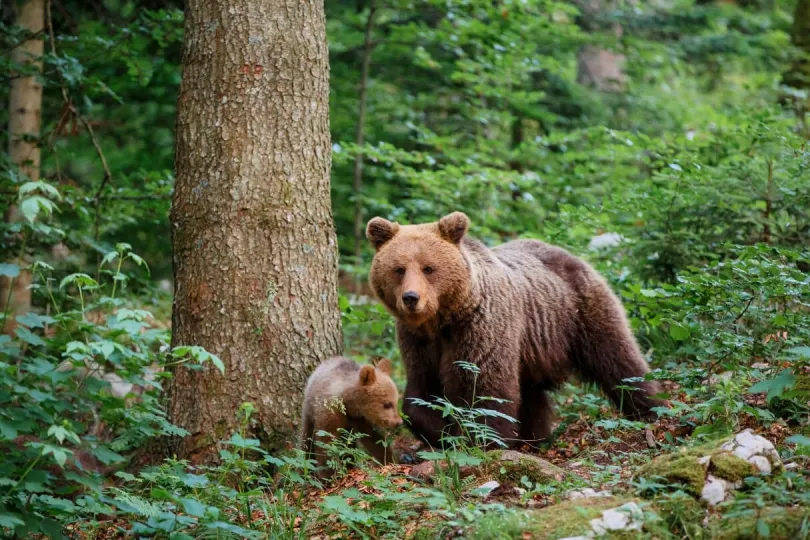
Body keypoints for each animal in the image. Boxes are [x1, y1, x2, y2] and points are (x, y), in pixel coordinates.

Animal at [364, 211, 664, 448]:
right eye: (399, 269)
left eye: (429, 268)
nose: (411, 298)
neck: (442, 320)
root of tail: (570, 255)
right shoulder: (418, 341)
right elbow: (422, 394)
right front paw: (442, 432)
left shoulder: (479, 328)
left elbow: (486, 388)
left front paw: (484, 440)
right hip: (532, 347)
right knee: (532, 395)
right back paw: (535, 437)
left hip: (580, 312)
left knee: (618, 359)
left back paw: (652, 407)